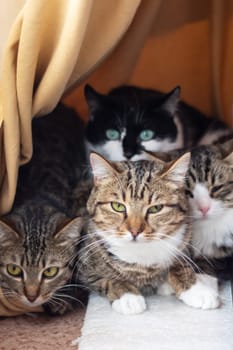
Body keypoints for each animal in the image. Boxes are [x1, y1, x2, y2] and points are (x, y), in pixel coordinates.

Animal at [77, 152, 219, 314]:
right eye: (118, 206)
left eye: (155, 208)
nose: (134, 231)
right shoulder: (84, 264)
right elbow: (107, 278)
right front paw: (127, 295)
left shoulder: (184, 241)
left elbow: (179, 266)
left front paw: (197, 290)